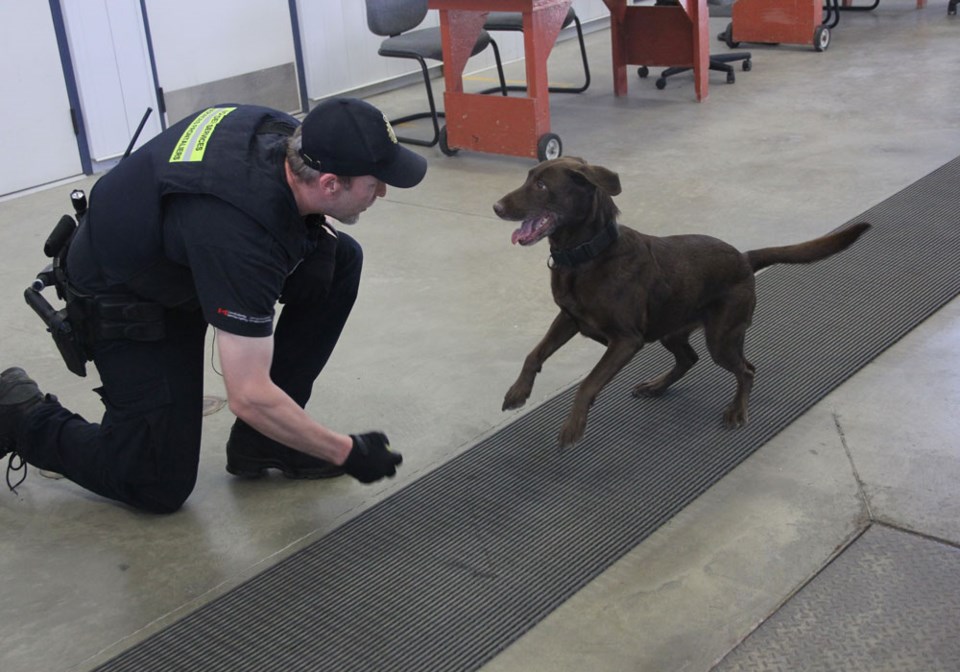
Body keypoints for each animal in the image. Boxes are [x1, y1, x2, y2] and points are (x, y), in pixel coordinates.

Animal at [496, 159, 872, 446]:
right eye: (528, 179)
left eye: (542, 185)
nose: (496, 207)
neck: (586, 257)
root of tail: (744, 258)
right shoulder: (569, 318)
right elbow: (534, 354)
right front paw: (517, 392)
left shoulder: (625, 340)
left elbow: (588, 383)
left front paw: (573, 426)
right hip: (671, 329)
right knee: (689, 359)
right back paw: (656, 387)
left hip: (721, 337)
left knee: (746, 370)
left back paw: (737, 411)